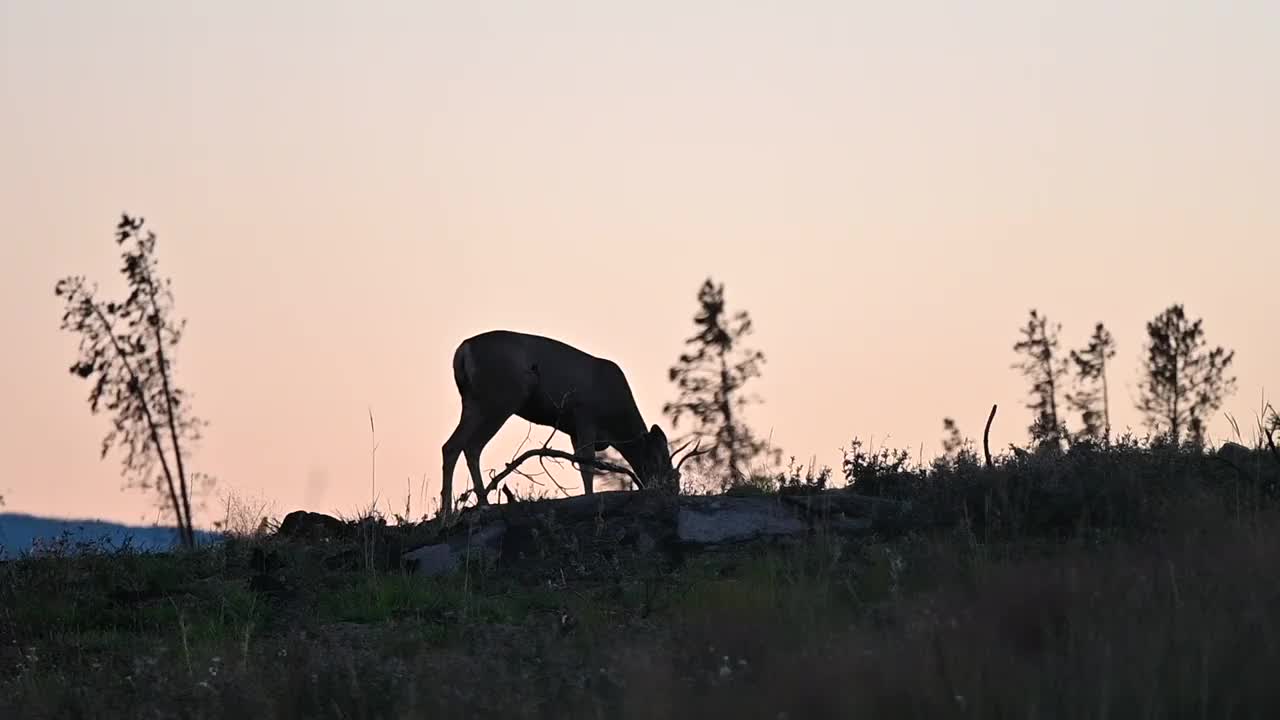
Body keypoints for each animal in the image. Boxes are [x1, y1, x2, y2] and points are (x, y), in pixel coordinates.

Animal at [440, 330, 701, 515]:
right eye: (672, 475)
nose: (673, 495)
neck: (616, 421)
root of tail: (463, 351)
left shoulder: (573, 429)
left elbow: (581, 462)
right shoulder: (585, 415)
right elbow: (587, 464)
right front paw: (589, 498)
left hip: (472, 401)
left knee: (452, 445)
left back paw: (458, 507)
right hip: (500, 398)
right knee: (471, 445)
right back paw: (471, 505)